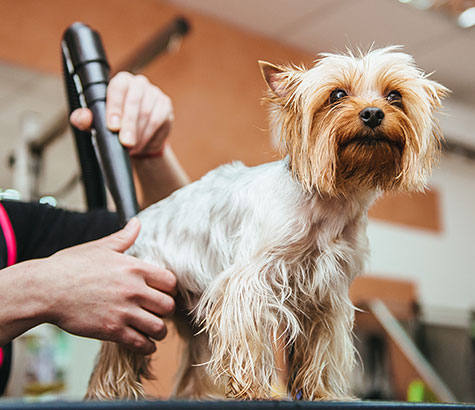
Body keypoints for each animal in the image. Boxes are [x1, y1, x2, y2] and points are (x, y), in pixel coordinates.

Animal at [87, 45, 448, 400]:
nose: (373, 113)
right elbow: (249, 338)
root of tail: (139, 220)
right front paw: (254, 390)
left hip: (193, 310)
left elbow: (319, 349)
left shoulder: (325, 295)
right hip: (137, 301)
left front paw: (319, 392)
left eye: (394, 96)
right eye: (337, 94)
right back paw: (108, 392)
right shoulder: (248, 282)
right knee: (118, 356)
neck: (332, 200)